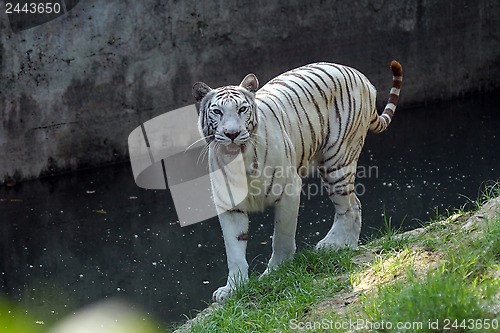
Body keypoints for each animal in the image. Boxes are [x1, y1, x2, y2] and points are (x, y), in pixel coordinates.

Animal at [191, 59, 402, 300]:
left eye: (242, 109)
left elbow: (281, 237)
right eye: (217, 111)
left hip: (337, 160)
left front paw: (275, 272)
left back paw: (335, 245)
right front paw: (233, 288)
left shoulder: (288, 191)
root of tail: (361, 76)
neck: (240, 162)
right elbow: (234, 251)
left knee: (349, 207)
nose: (232, 134)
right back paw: (345, 244)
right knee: (354, 204)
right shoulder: (229, 204)